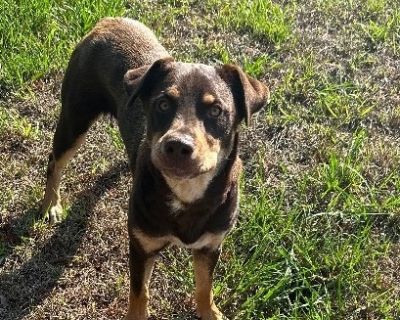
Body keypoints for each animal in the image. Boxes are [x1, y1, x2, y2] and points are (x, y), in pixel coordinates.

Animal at [41, 18, 268, 320]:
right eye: (162, 104)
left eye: (216, 111)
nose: (177, 146)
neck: (185, 195)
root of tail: (108, 21)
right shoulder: (141, 245)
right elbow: (140, 293)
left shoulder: (210, 246)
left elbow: (204, 287)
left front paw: (210, 312)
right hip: (75, 117)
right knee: (54, 162)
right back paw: (50, 204)